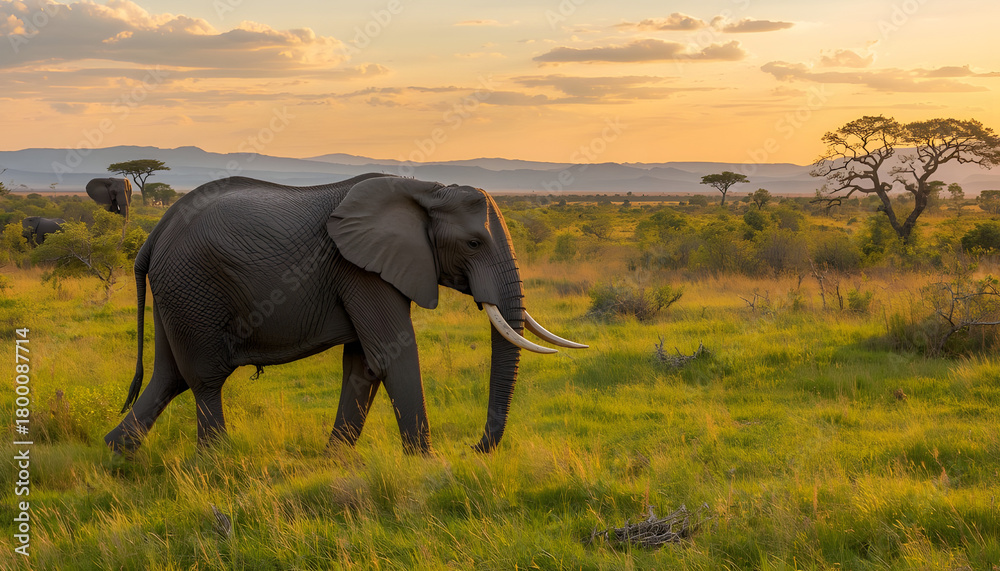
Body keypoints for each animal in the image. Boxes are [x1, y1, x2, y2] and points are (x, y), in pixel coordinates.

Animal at [104, 174, 586, 455]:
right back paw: (216, 459)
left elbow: (363, 364)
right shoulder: (360, 269)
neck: (426, 186)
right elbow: (392, 355)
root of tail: (155, 233)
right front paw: (426, 464)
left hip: (178, 293)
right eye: (473, 244)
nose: (474, 448)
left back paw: (116, 452)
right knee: (204, 379)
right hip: (192, 287)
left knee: (169, 377)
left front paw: (334, 459)